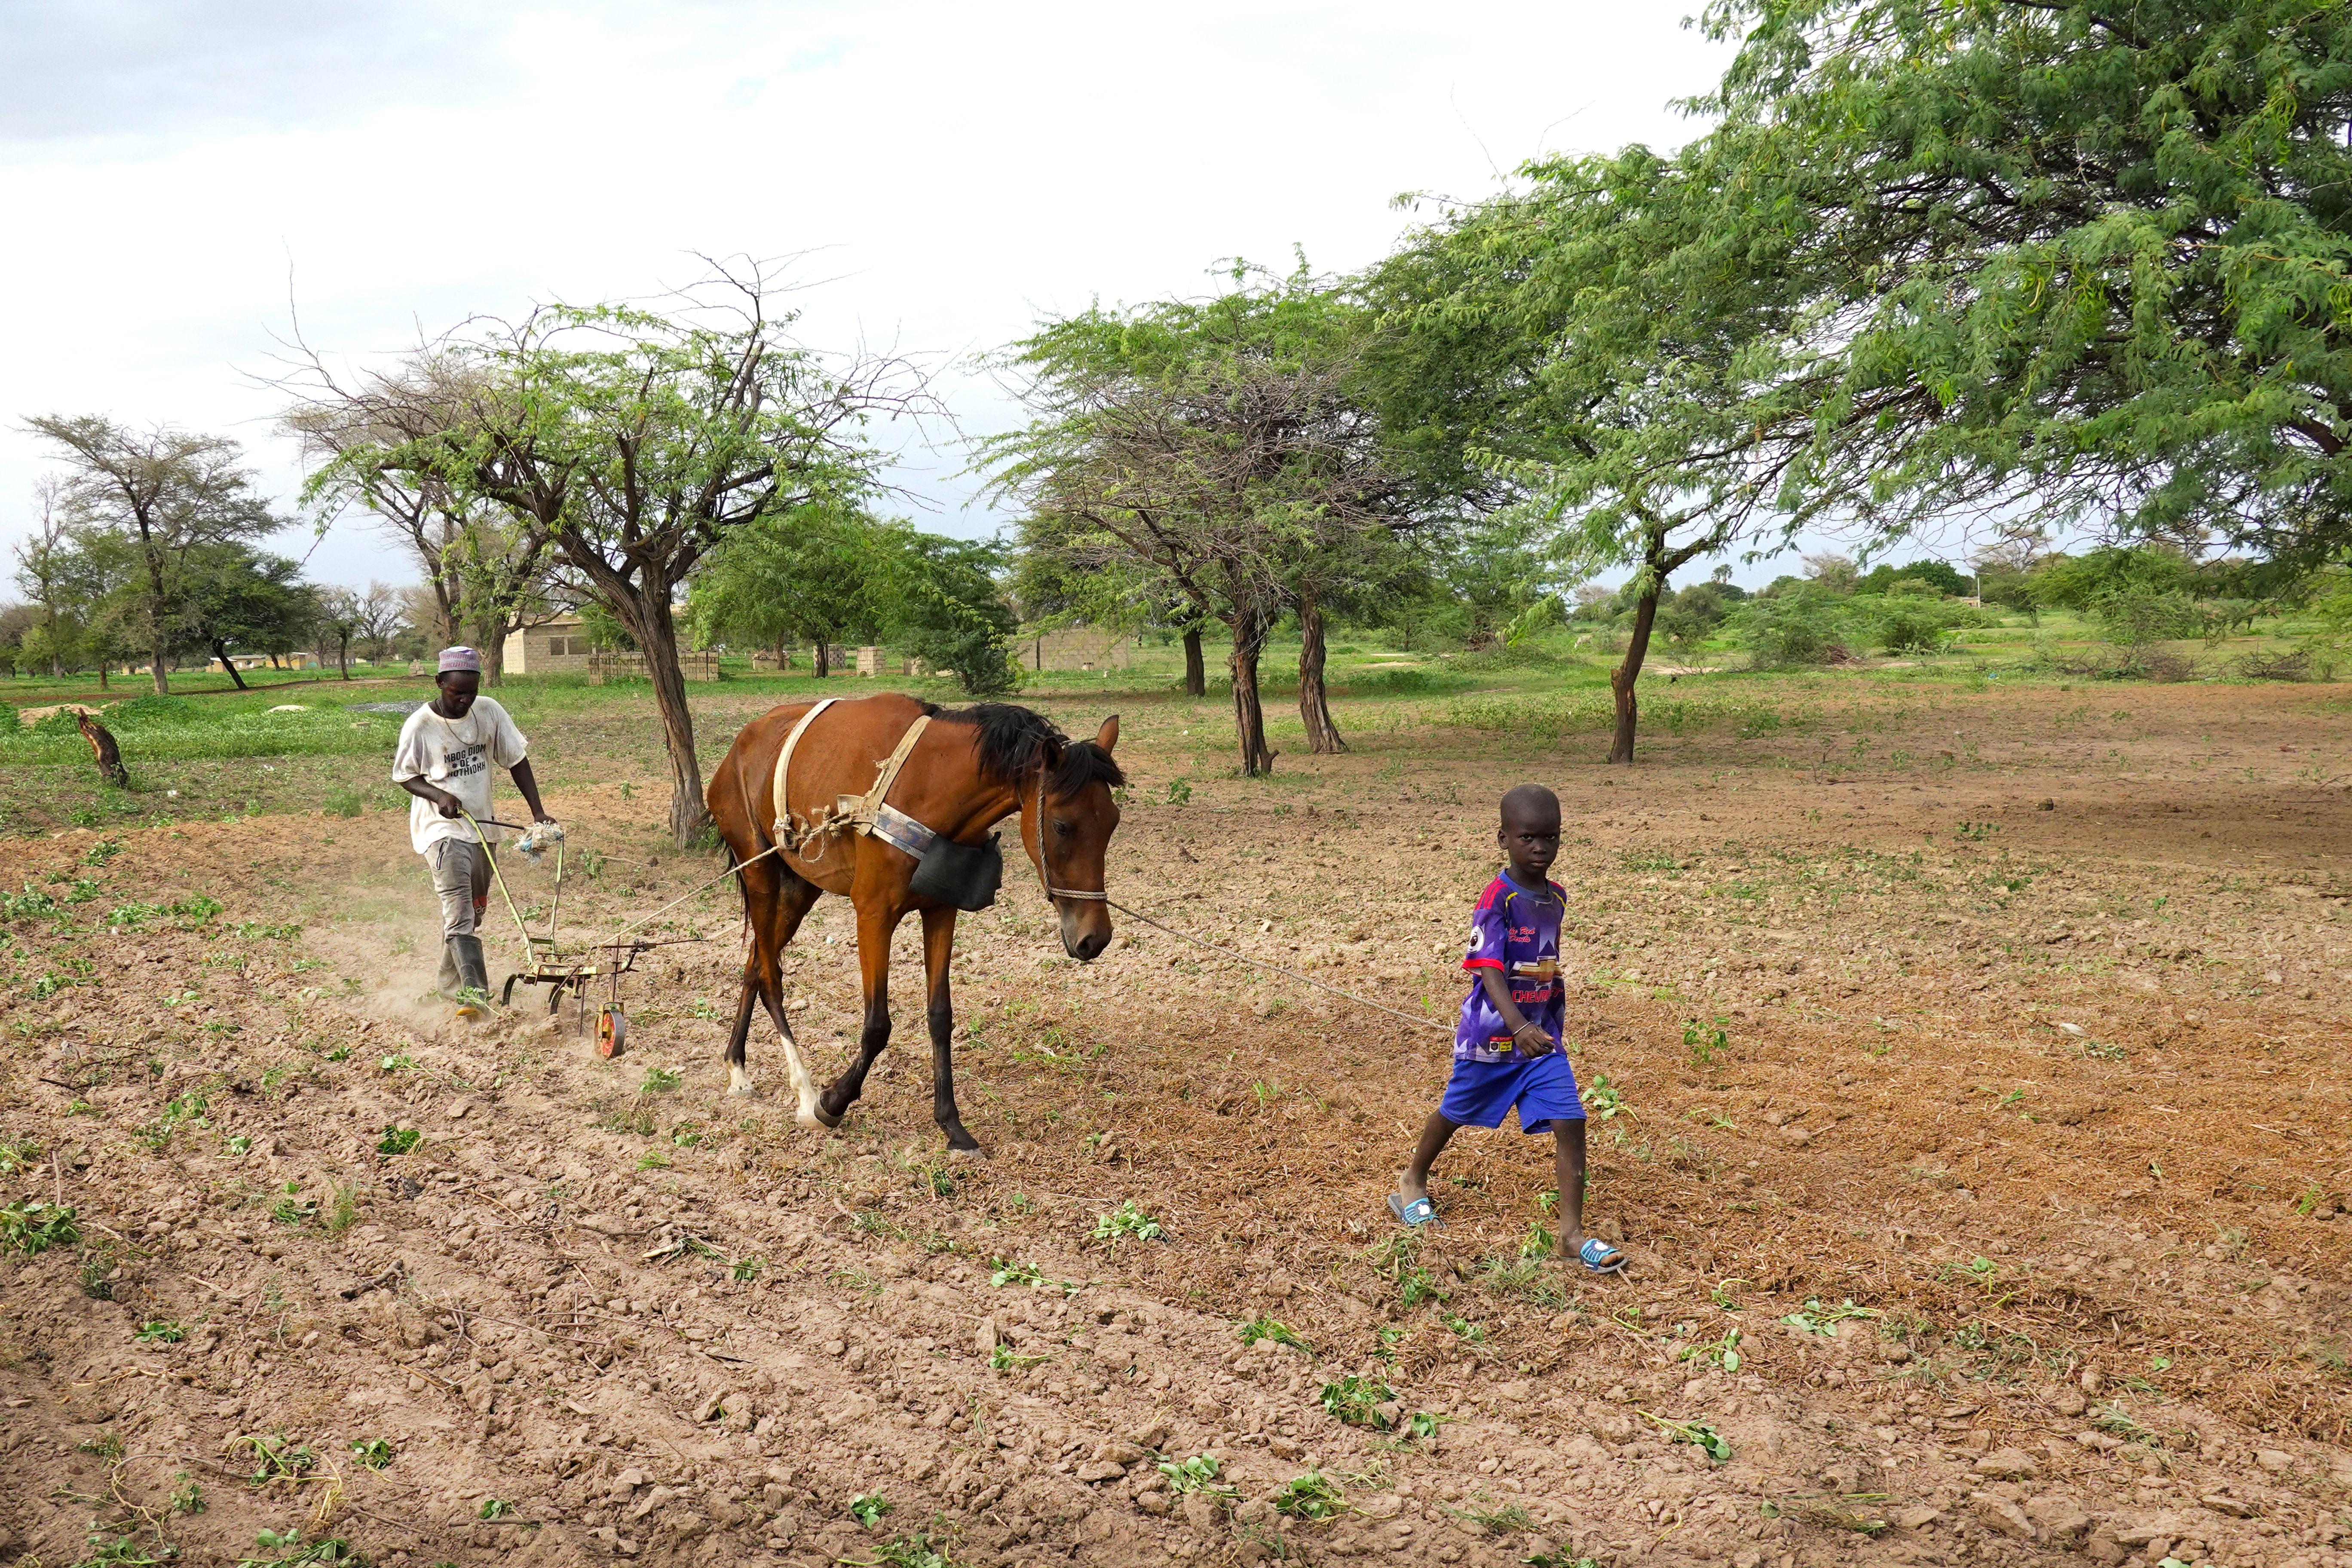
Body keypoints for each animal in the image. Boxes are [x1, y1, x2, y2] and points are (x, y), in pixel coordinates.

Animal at [704, 693, 1124, 1153]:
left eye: (1113, 822)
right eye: (1063, 826)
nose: (1095, 937)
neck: (930, 784)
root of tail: (738, 747)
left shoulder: (940, 911)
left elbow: (940, 1016)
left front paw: (951, 1123)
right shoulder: (873, 914)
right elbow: (877, 1026)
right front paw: (833, 1101)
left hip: (801, 886)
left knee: (754, 966)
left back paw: (737, 1067)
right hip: (760, 874)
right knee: (770, 977)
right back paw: (803, 1088)